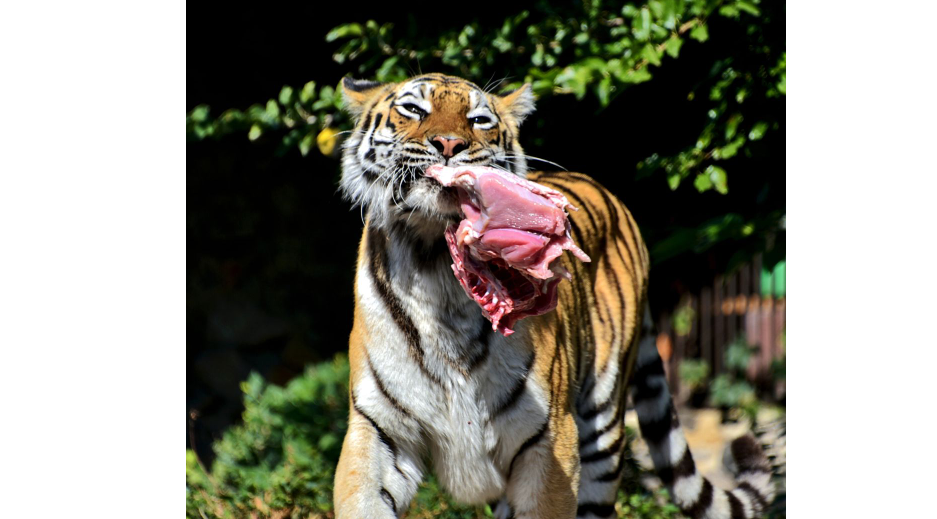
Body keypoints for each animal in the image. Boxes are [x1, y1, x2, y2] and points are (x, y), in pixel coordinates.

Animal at [332, 74, 772, 519]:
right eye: (413, 110)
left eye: (479, 119)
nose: (449, 144)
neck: (435, 265)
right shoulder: (378, 428)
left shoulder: (548, 438)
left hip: (602, 423)